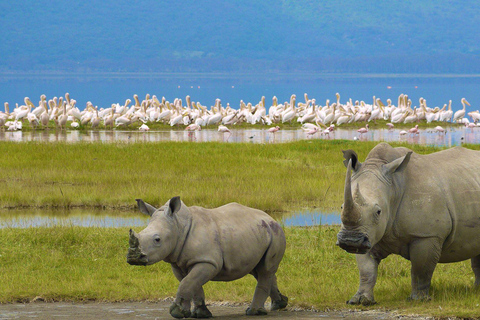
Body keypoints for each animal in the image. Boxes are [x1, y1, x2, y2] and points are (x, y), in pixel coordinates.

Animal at [125, 196, 286, 318]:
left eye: (157, 240)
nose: (133, 258)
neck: (178, 225)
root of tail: (271, 218)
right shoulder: (179, 263)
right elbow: (191, 284)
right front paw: (200, 314)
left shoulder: (208, 261)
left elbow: (187, 283)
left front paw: (177, 313)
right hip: (257, 233)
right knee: (258, 270)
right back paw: (279, 304)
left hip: (275, 233)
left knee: (265, 269)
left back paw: (254, 312)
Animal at [338, 142, 480, 304]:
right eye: (341, 207)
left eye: (378, 212)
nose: (350, 241)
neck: (393, 187)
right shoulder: (369, 234)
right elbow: (366, 269)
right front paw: (360, 300)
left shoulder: (426, 235)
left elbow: (421, 269)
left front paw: (418, 300)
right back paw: (476, 290)